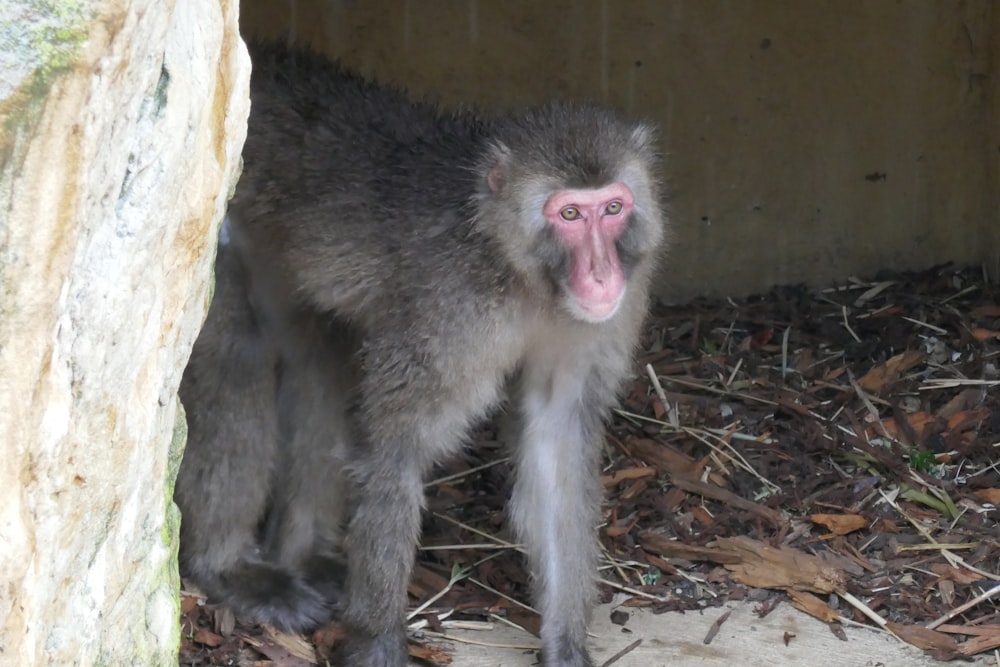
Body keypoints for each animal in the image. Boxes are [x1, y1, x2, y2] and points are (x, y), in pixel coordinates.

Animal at [177, 43, 668, 667]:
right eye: (570, 215)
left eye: (613, 208)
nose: (603, 276)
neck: (518, 272)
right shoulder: (450, 316)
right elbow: (398, 448)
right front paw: (379, 641)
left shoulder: (595, 323)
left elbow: (556, 440)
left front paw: (565, 645)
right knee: (237, 359)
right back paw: (231, 569)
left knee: (320, 357)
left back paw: (303, 555)